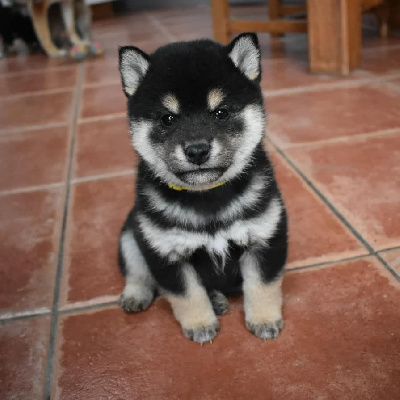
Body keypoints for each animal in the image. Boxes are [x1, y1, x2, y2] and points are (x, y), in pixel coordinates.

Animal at [117, 33, 286, 344]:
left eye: (221, 113)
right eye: (167, 118)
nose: (197, 151)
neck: (207, 197)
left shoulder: (264, 238)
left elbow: (262, 285)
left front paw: (264, 319)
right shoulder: (166, 252)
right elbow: (187, 295)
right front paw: (199, 323)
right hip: (129, 233)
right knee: (136, 272)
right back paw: (136, 294)